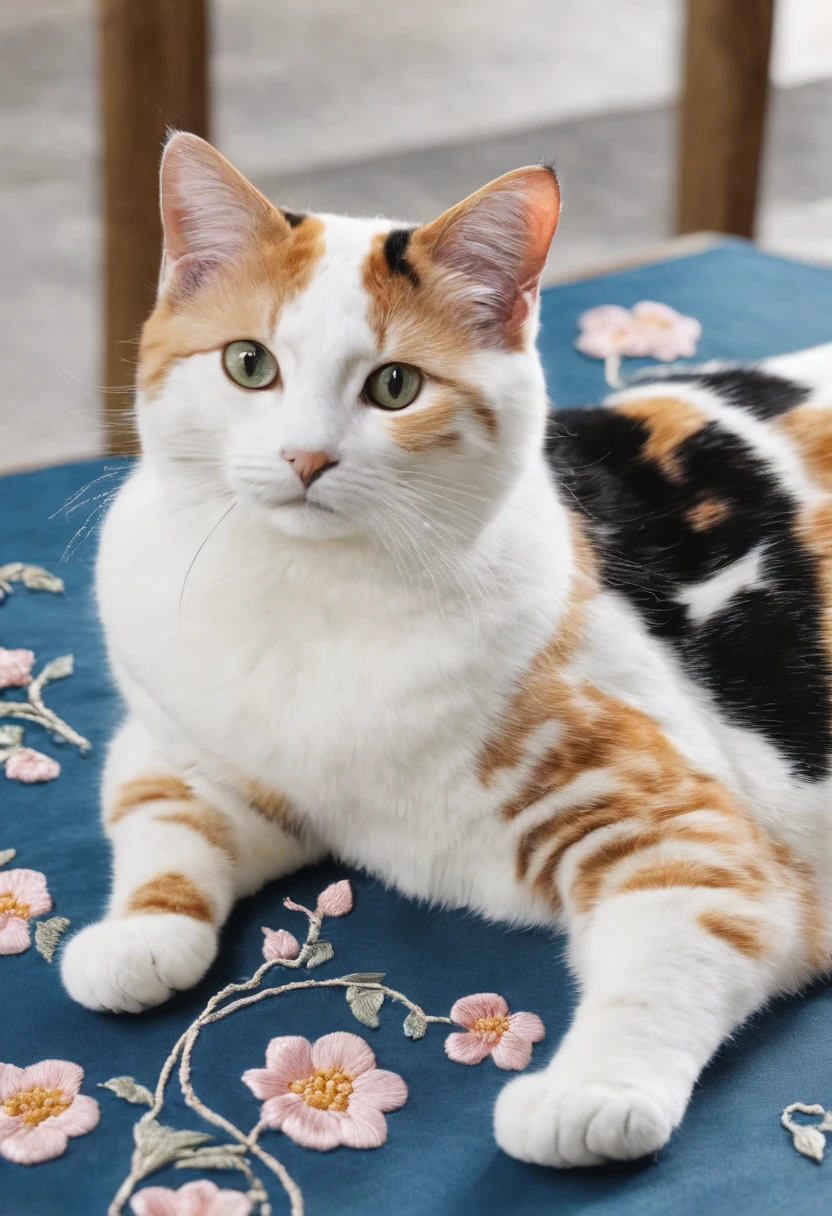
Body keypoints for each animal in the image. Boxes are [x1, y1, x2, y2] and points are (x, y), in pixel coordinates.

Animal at [61, 133, 832, 1167]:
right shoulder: (175, 738)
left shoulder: (684, 828)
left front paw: (591, 1093)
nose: (305, 457)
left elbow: (674, 948)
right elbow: (162, 815)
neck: (315, 597)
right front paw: (135, 937)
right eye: (248, 364)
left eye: (395, 385)